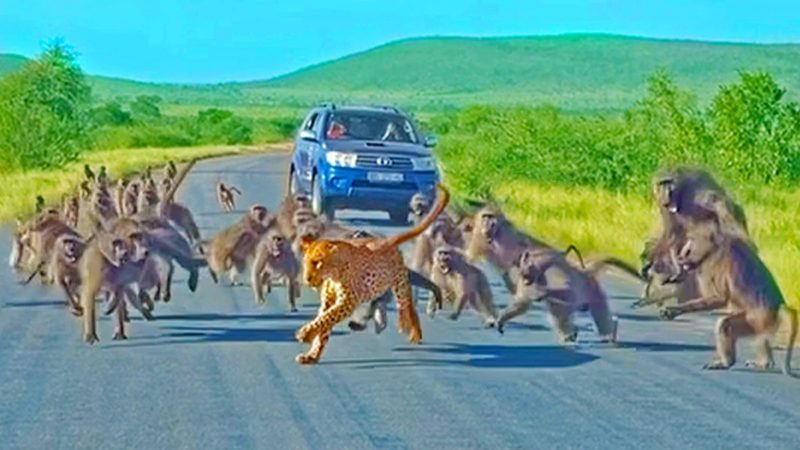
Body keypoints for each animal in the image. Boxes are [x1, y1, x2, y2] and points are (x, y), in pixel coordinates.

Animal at [294, 184, 450, 365]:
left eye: (317, 263)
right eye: (309, 263)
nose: (307, 278)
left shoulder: (347, 300)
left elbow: (326, 318)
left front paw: (306, 335)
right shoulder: (331, 300)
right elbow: (324, 323)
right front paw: (312, 353)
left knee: (401, 304)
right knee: (381, 306)